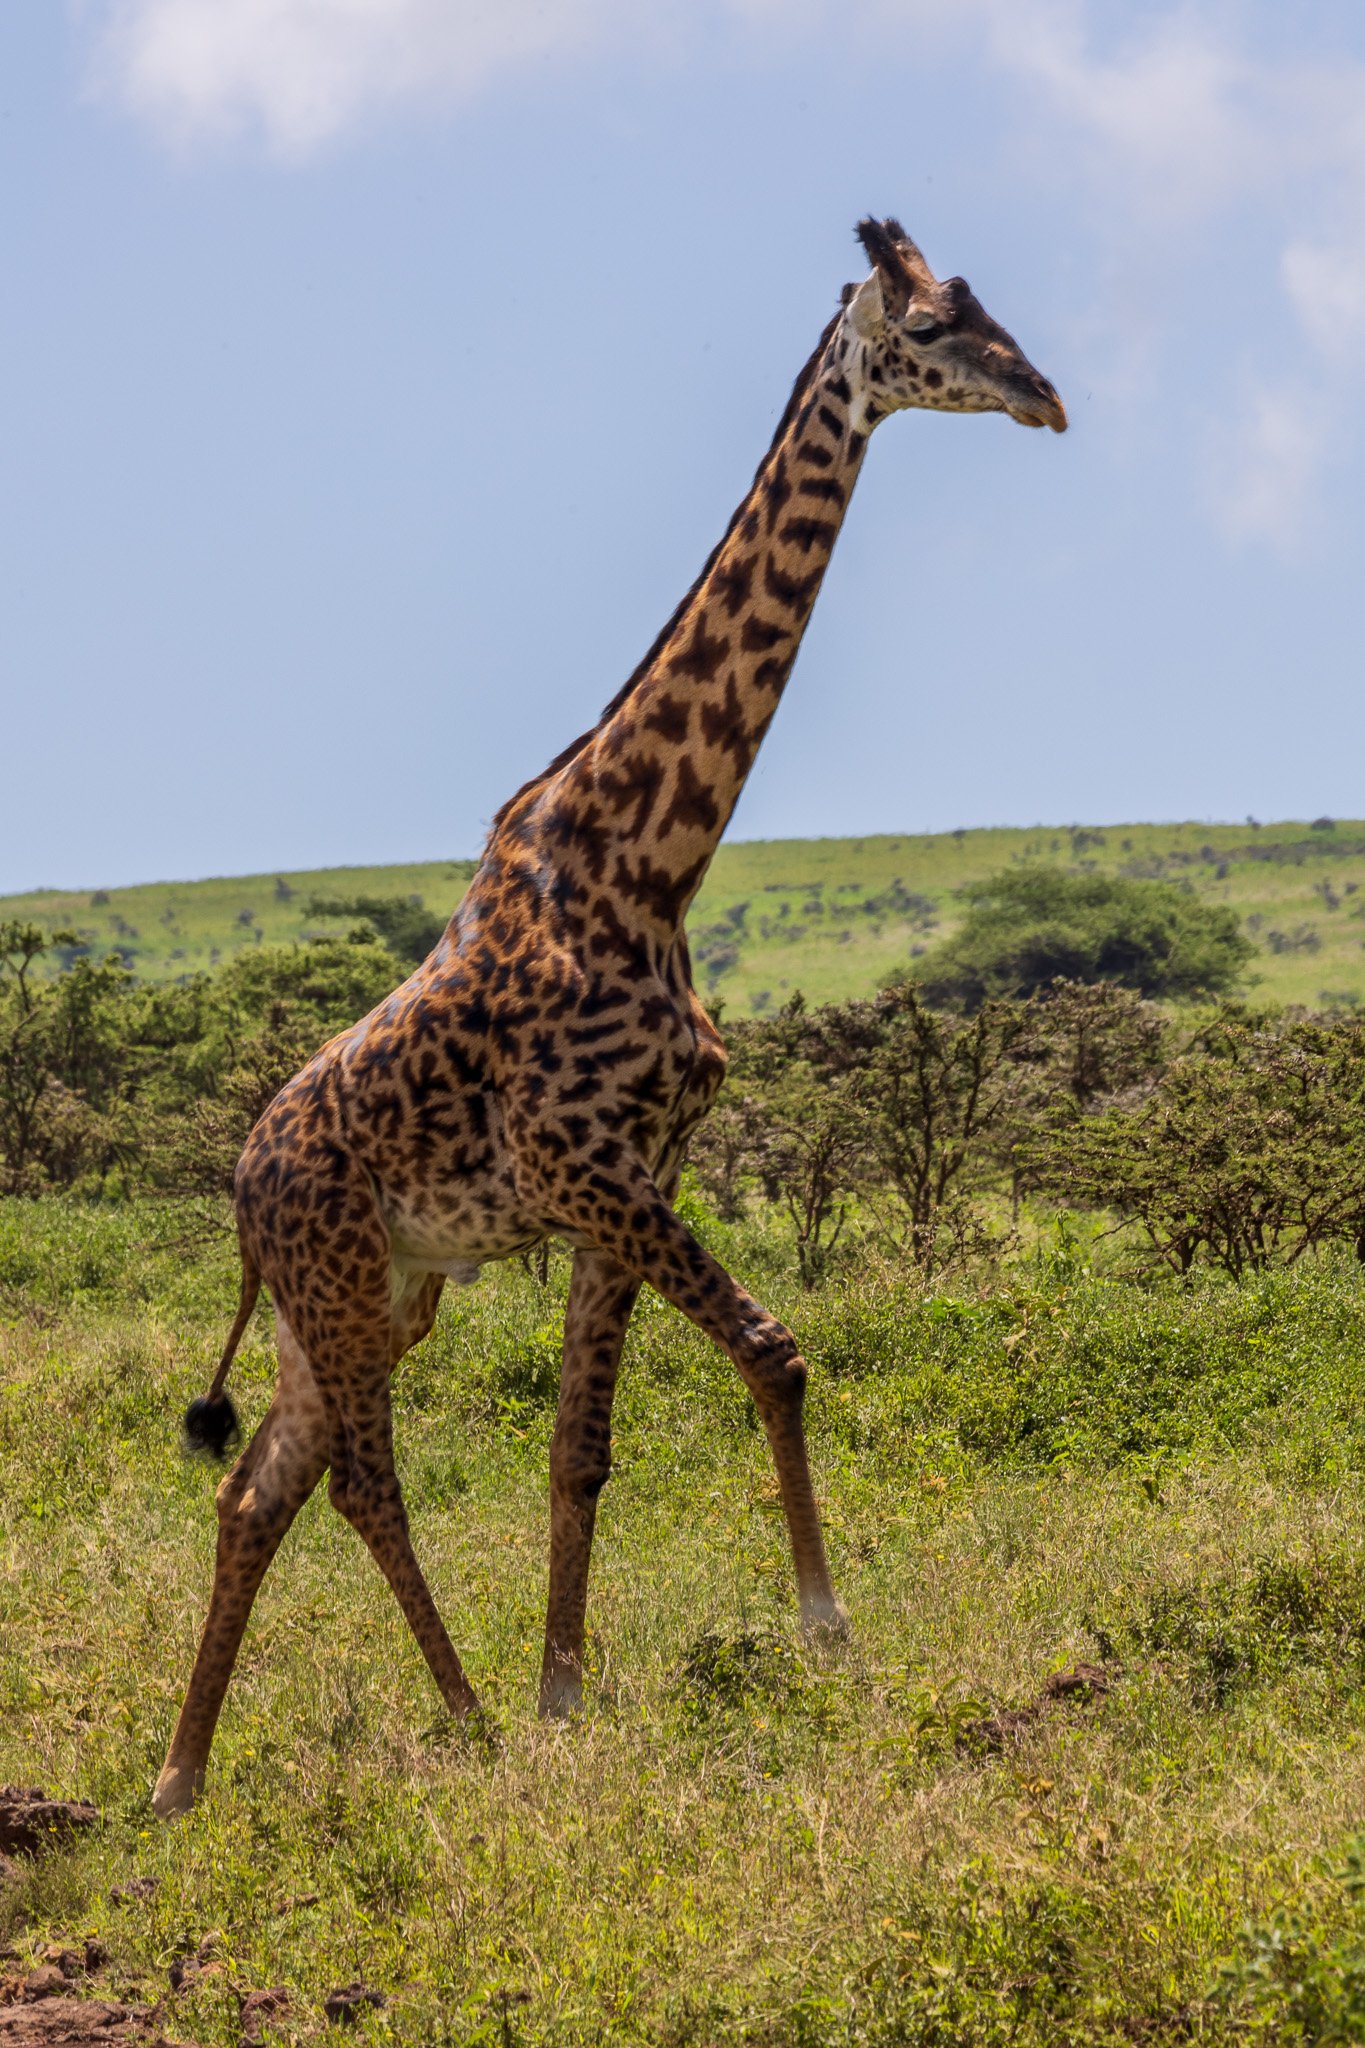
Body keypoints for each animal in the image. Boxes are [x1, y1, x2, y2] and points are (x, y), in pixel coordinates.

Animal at [152, 216, 1064, 1818]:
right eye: (929, 328)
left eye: (986, 305)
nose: (1045, 396)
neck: (647, 855)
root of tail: (244, 1193)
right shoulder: (585, 1163)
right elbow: (775, 1348)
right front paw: (825, 1630)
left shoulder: (634, 1168)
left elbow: (581, 1448)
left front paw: (569, 1691)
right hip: (341, 1284)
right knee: (359, 1478)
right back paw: (456, 1719)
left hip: (376, 1294)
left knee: (257, 1484)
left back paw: (184, 1778)